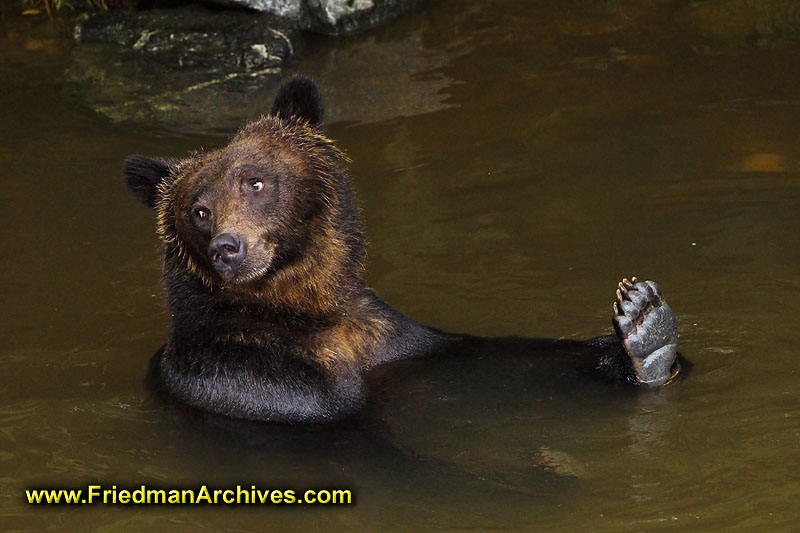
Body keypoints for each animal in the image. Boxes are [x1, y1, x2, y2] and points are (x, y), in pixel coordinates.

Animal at [120, 75, 680, 424]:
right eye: (198, 209)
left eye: (254, 181)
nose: (228, 248)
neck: (301, 310)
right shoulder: (243, 376)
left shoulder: (394, 340)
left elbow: (491, 352)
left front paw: (643, 324)